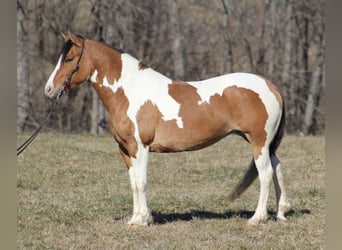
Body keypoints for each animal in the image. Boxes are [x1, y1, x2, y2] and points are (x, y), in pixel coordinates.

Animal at [44, 32, 292, 227]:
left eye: (69, 59)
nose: (49, 90)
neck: (129, 91)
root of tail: (270, 86)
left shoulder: (140, 148)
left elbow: (141, 181)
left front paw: (142, 220)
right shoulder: (125, 150)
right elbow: (133, 183)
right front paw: (137, 218)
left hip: (259, 142)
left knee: (265, 174)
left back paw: (257, 218)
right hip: (265, 144)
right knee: (277, 167)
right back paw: (281, 213)